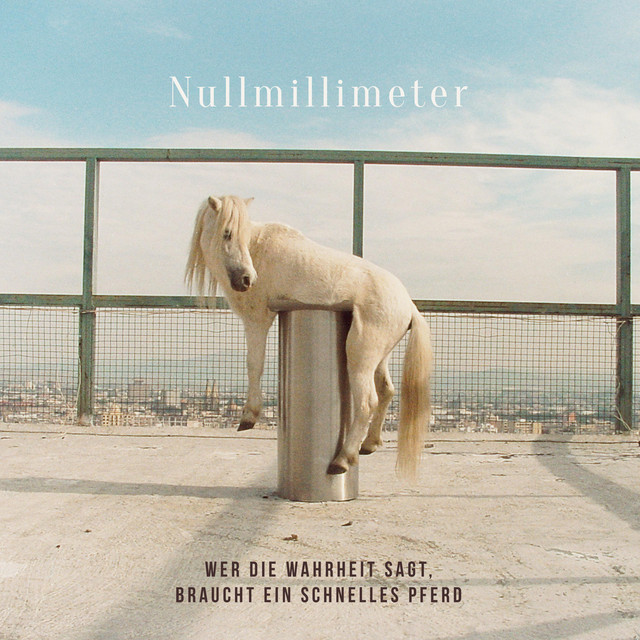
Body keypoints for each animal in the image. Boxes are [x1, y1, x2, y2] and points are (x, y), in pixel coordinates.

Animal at [185, 195, 432, 479]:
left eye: (238, 234)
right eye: (227, 233)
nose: (247, 279)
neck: (260, 250)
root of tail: (408, 305)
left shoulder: (257, 319)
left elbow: (254, 365)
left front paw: (249, 416)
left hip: (360, 352)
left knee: (367, 402)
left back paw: (342, 459)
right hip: (380, 356)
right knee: (387, 391)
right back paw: (369, 444)